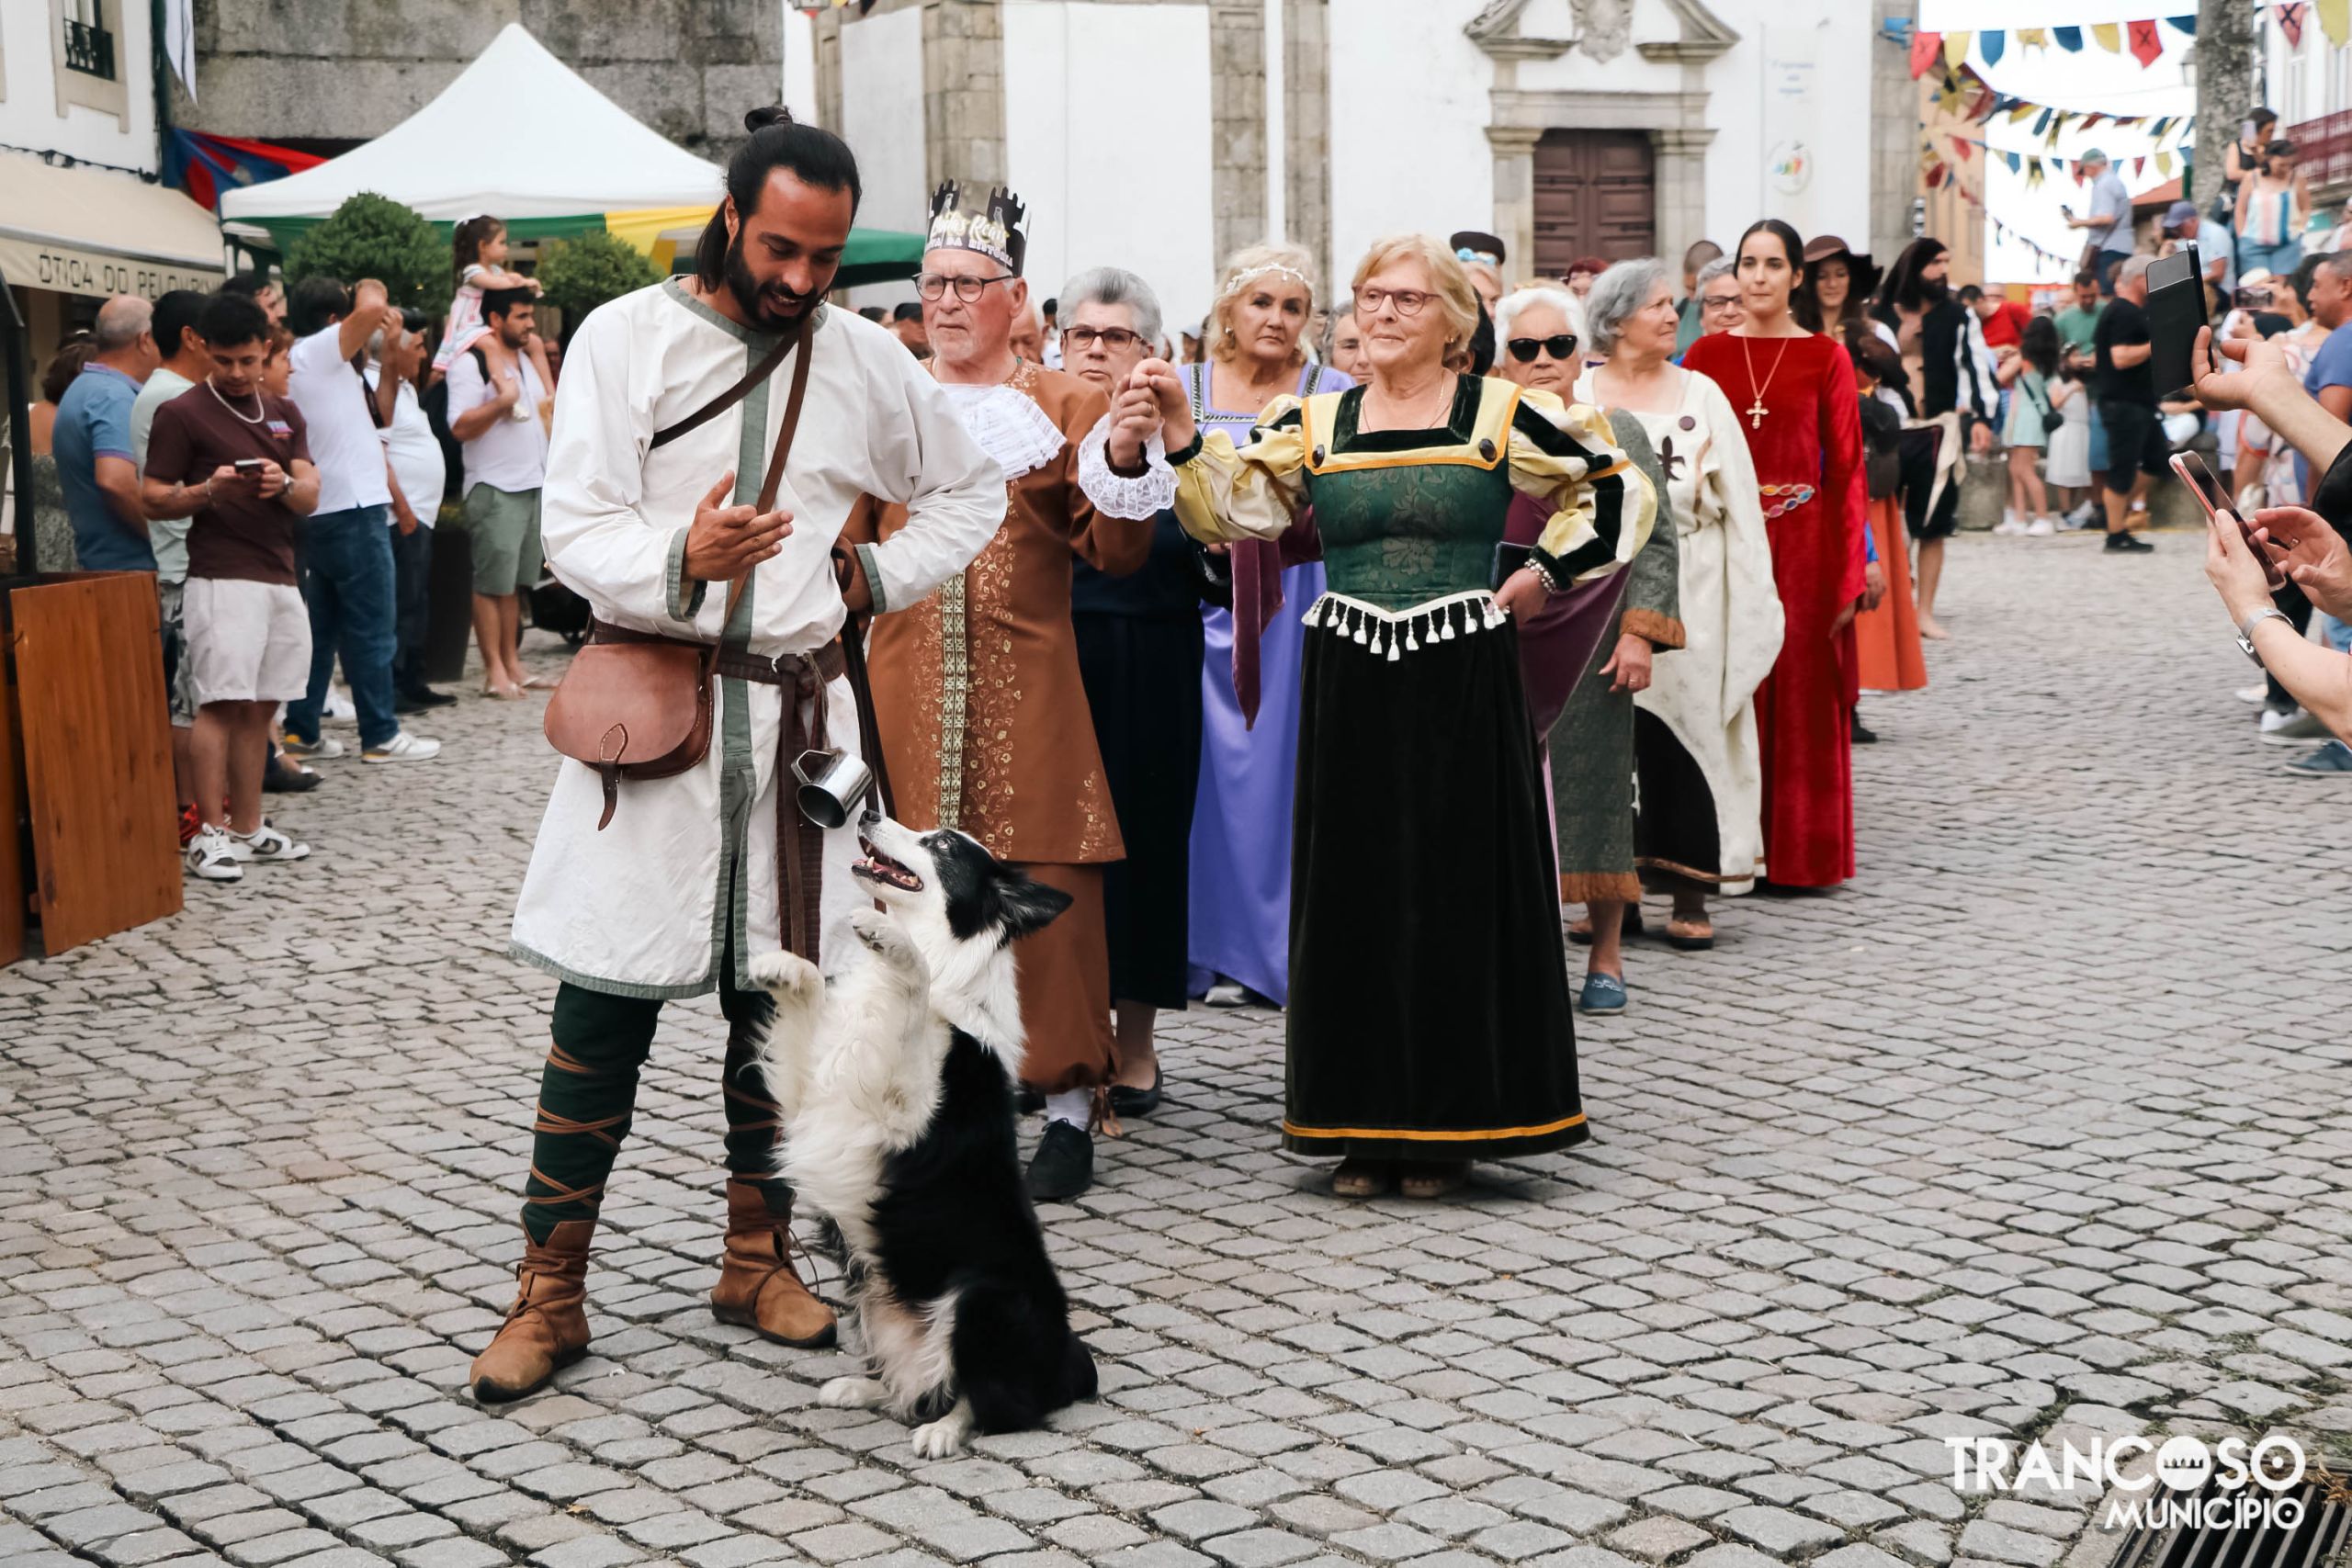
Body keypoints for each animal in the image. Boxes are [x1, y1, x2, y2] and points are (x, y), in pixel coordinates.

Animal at [747, 814, 1098, 1459]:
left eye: (944, 844)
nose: (866, 815)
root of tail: (1069, 1360)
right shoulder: (816, 1097)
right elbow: (809, 1004)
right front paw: (784, 967)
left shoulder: (905, 1118)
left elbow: (917, 984)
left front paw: (891, 941)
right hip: (869, 1291)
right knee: (918, 1384)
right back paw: (861, 1388)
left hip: (984, 1296)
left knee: (990, 1400)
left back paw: (943, 1431)